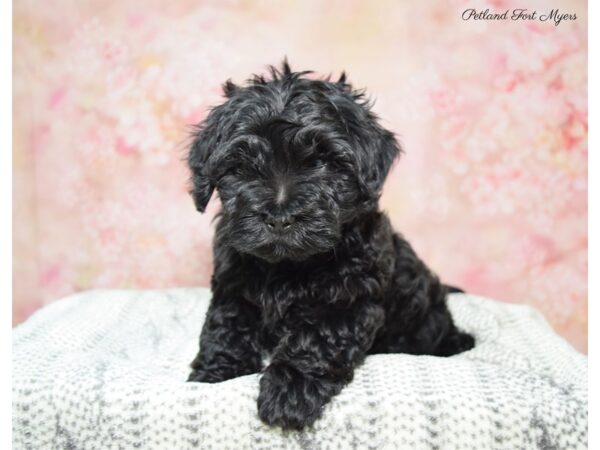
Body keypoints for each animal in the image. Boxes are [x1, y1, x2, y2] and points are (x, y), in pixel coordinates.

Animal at [185, 60, 476, 428]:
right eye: (242, 166)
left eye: (322, 162)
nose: (279, 217)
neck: (290, 266)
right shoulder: (233, 287)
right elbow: (227, 326)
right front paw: (214, 372)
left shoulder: (349, 301)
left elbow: (315, 340)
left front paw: (288, 393)